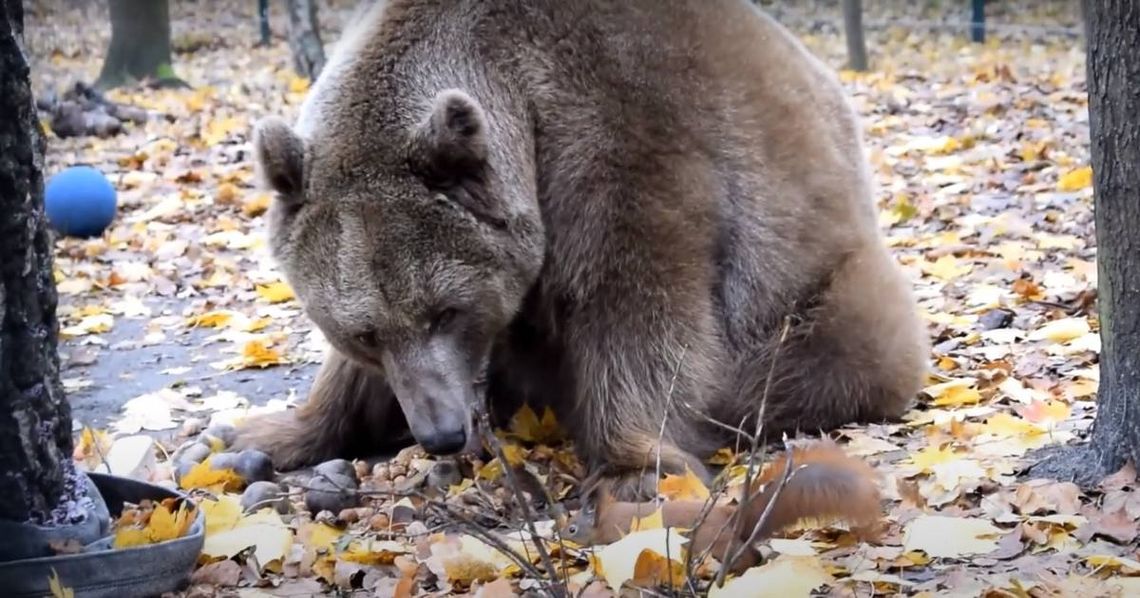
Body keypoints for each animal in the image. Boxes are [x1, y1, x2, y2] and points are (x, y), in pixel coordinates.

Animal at [231, 0, 925, 496]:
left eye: (447, 311)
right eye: (364, 333)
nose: (442, 432)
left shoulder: (618, 139)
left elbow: (639, 306)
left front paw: (637, 468)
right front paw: (264, 433)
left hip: (818, 274)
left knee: (833, 348)